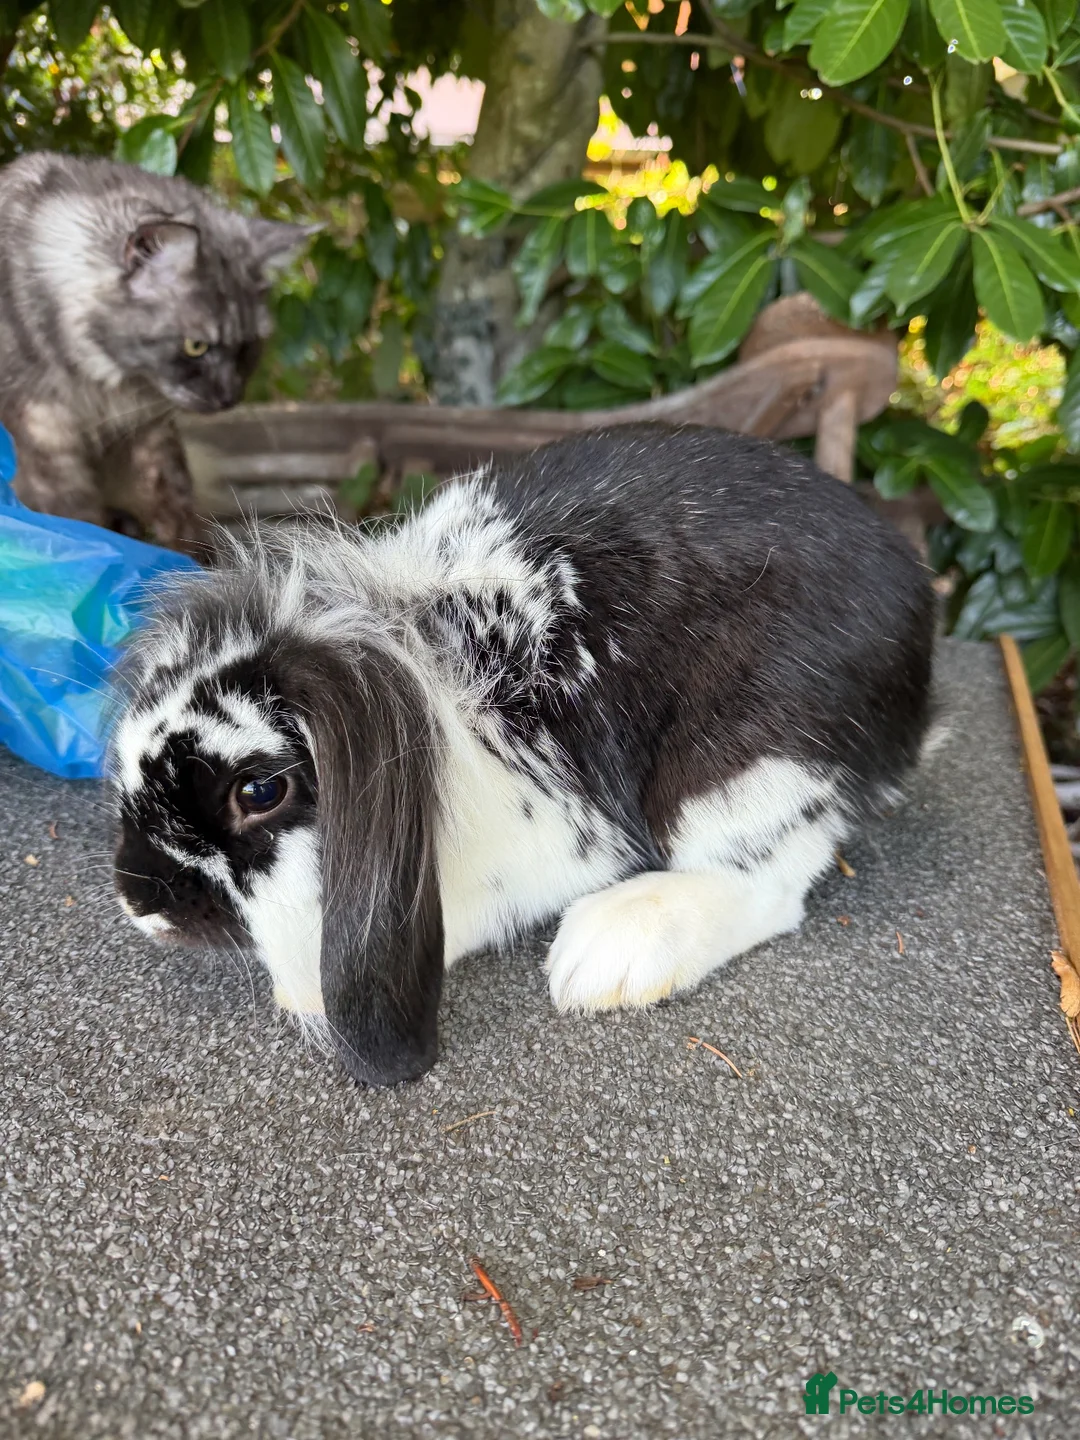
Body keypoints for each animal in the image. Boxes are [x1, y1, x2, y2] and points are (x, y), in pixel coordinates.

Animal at [110, 424, 934, 1086]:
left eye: (259, 792)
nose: (138, 901)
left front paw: (304, 985)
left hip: (747, 769)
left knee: (769, 886)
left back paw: (607, 954)